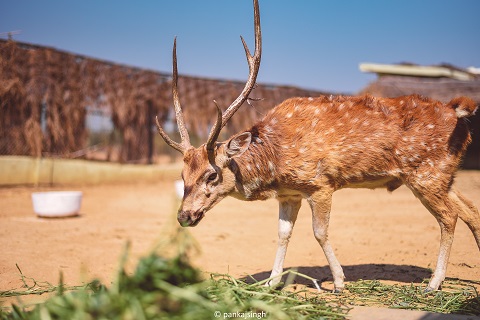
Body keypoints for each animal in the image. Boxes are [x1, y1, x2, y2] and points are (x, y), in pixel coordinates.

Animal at [156, 0, 478, 292]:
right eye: (182, 176)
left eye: (212, 174)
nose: (183, 216)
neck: (275, 163)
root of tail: (458, 111)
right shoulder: (289, 194)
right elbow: (283, 233)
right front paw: (271, 283)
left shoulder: (320, 183)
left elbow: (319, 232)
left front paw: (338, 282)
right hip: (445, 176)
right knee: (471, 210)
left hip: (427, 174)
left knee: (449, 217)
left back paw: (433, 284)